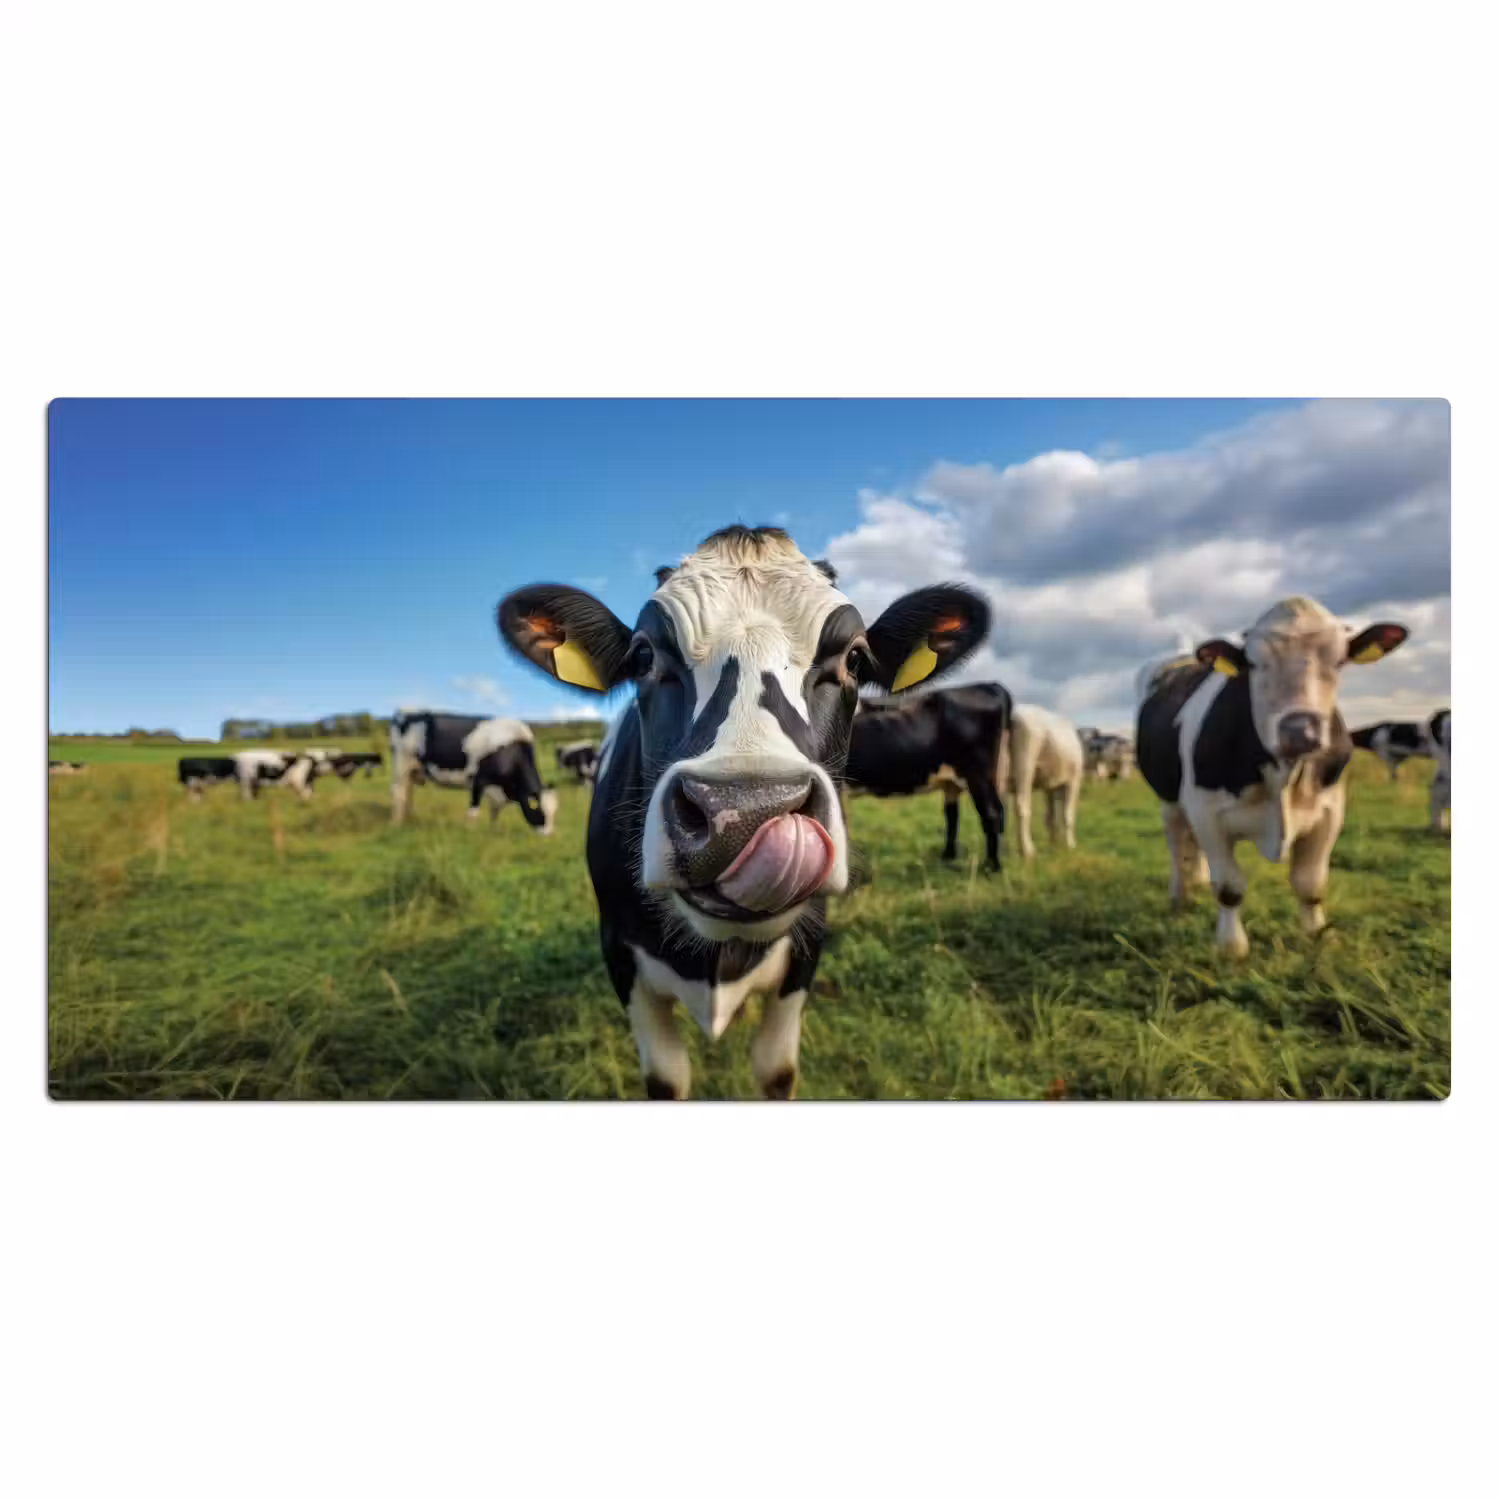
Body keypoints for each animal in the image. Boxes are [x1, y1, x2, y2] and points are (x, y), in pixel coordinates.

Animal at [388, 711, 558, 832]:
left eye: (554, 813)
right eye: (540, 812)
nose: (548, 835)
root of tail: (405, 714)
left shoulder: (497, 789)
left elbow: (495, 812)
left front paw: (492, 831)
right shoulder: (478, 781)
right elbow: (474, 811)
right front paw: (470, 832)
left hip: (413, 771)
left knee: (408, 793)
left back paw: (409, 819)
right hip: (401, 765)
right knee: (398, 793)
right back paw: (396, 823)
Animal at [497, 524, 989, 1099]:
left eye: (855, 659)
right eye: (643, 656)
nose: (744, 814)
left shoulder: (806, 951)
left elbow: (776, 1070)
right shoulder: (620, 953)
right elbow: (666, 1078)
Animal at [842, 683, 1011, 872]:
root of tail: (990, 685)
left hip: (978, 774)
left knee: (992, 812)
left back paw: (991, 867)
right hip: (957, 779)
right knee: (953, 814)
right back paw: (948, 857)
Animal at [1005, 704, 1085, 858]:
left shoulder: (1049, 786)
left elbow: (1050, 816)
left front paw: (1054, 844)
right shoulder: (1074, 781)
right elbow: (1068, 814)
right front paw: (1070, 845)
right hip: (1025, 763)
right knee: (1022, 805)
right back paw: (1027, 850)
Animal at [1135, 597, 1409, 957]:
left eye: (1339, 660)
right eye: (1253, 663)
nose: (1299, 730)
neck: (1284, 775)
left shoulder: (1330, 811)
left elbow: (1310, 883)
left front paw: (1319, 934)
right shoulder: (1206, 812)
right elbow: (1229, 887)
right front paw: (1232, 947)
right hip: (1170, 800)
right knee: (1177, 844)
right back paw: (1180, 893)